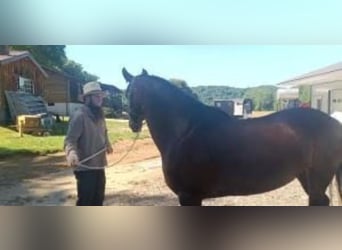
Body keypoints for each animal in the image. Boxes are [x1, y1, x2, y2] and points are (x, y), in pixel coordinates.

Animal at [123, 68, 342, 205]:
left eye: (128, 93)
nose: (132, 123)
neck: (184, 131)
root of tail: (333, 122)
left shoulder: (189, 196)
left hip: (318, 177)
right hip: (306, 176)